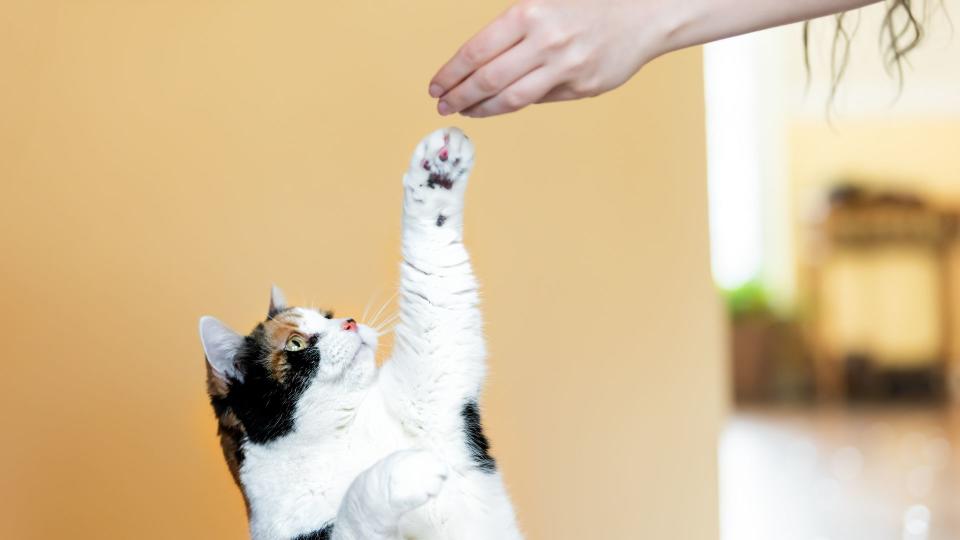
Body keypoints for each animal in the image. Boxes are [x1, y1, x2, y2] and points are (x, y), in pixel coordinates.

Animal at [198, 127, 520, 540]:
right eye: (296, 343)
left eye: (328, 316)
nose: (349, 322)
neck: (342, 433)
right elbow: (355, 502)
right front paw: (406, 470)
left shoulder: (433, 385)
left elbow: (434, 272)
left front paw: (438, 170)